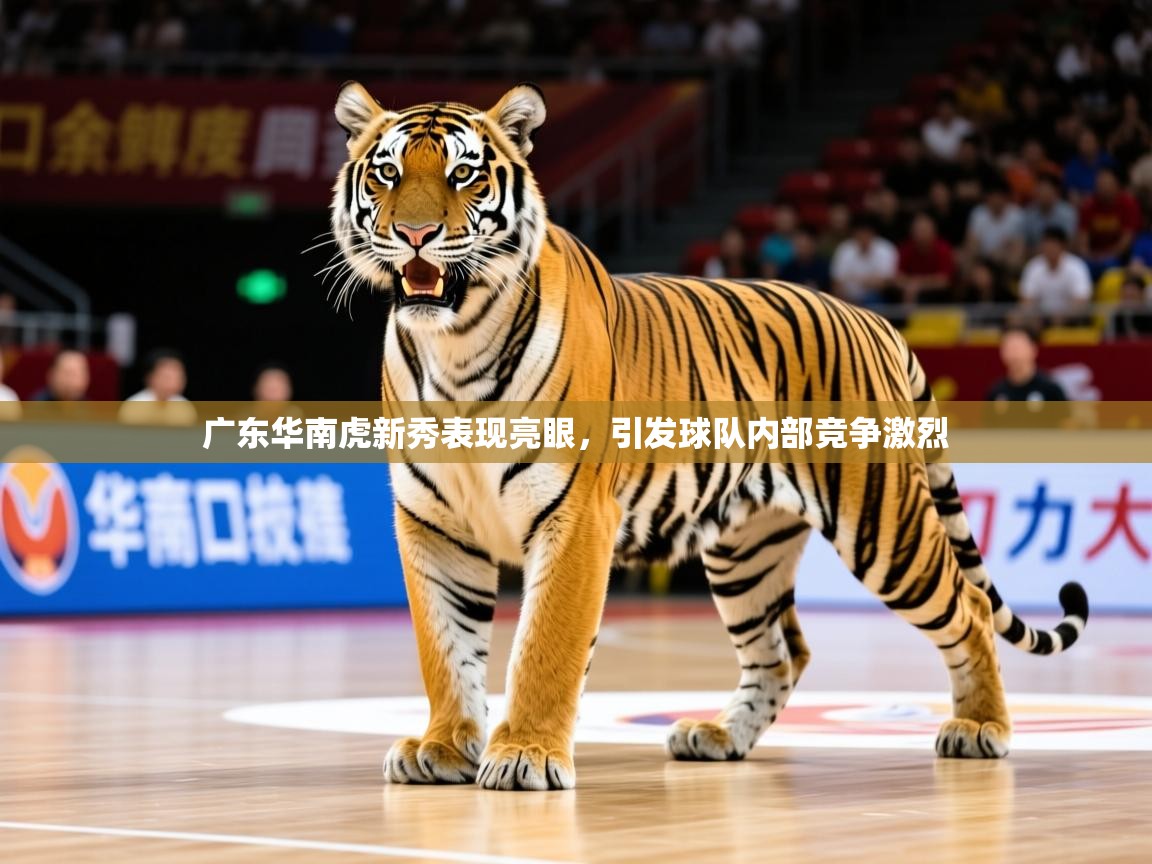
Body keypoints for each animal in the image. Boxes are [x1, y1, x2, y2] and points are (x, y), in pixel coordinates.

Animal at [329, 82, 1089, 791]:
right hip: (745, 546)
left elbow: (545, 644)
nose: (416, 234)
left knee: (967, 608)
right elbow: (445, 647)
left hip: (883, 525)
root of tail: (876, 321)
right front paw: (444, 747)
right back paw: (720, 736)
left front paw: (524, 755)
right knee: (781, 651)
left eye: (464, 175)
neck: (454, 346)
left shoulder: (575, 516)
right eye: (387, 173)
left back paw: (981, 728)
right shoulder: (433, 523)